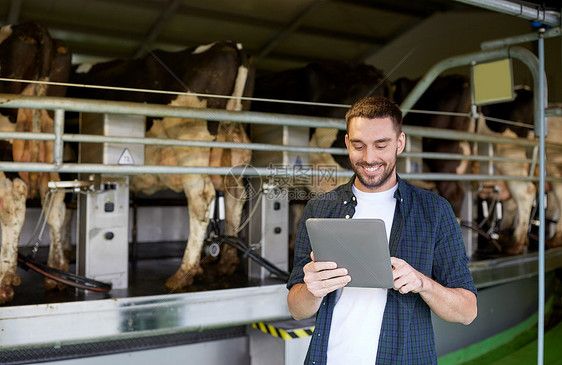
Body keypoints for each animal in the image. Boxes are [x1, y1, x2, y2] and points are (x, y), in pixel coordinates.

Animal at [66, 40, 256, 290]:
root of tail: (230, 44)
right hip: (233, 151)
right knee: (235, 197)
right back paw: (225, 264)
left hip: (190, 144)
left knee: (201, 197)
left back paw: (183, 273)